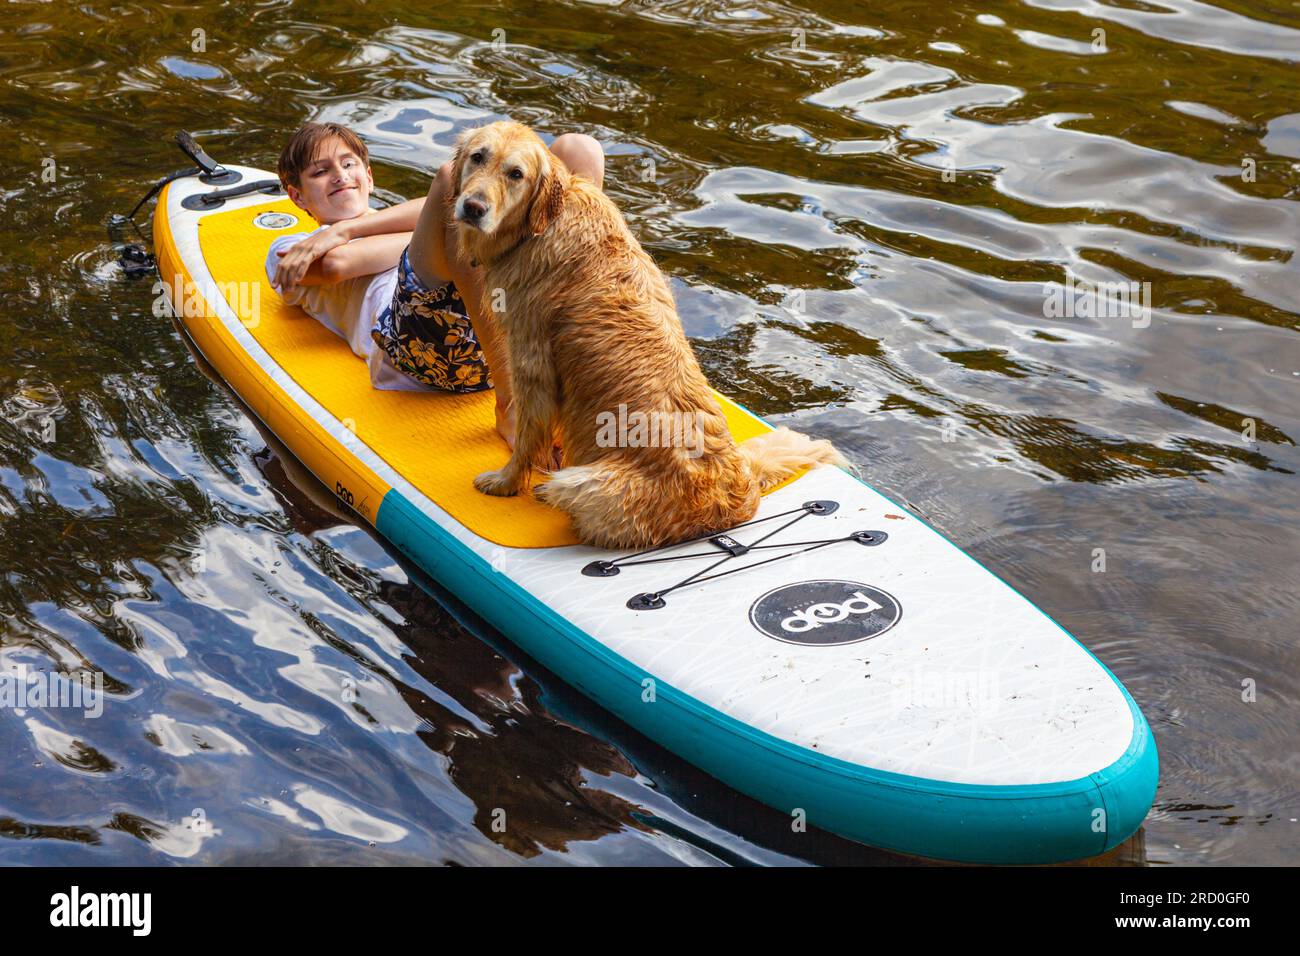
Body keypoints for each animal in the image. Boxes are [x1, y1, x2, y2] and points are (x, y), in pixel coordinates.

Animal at [452, 123, 847, 548]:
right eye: (477, 157)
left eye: (516, 174)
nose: (472, 208)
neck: (539, 226)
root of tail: (737, 504)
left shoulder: (532, 359)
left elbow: (526, 439)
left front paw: (505, 482)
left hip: (582, 485)